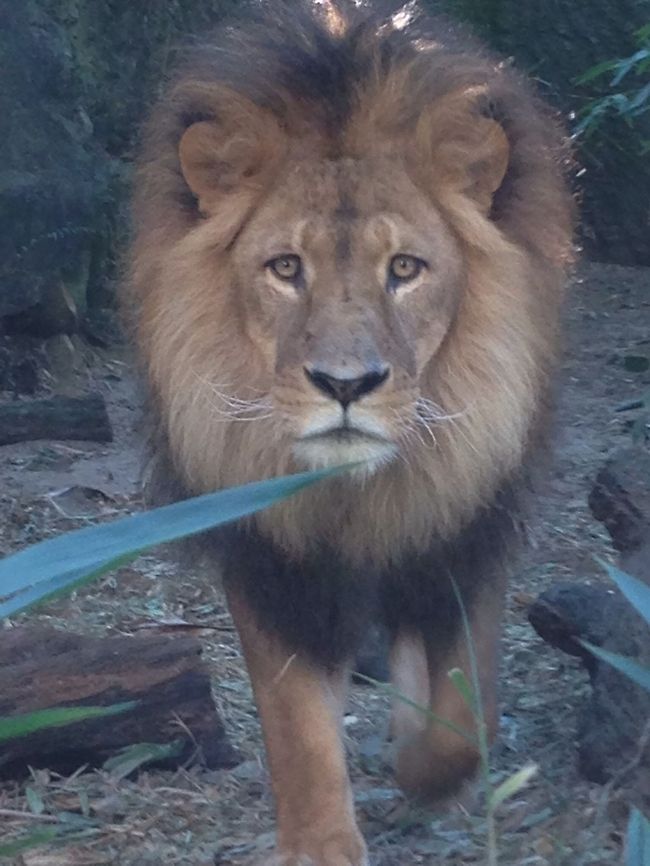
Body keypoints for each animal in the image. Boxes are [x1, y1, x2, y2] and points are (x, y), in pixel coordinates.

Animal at [125, 2, 574, 863]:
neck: (356, 494)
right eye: (284, 268)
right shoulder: (274, 558)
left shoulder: (466, 525)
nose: (344, 385)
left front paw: (432, 775)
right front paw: (320, 843)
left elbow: (463, 706)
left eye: (404, 269)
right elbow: (296, 724)